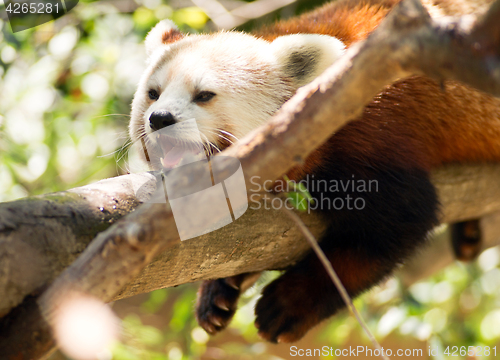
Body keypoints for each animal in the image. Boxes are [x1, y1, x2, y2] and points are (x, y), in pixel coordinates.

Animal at [130, 0, 500, 344]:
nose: (159, 118)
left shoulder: (374, 136)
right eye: (153, 94)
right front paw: (219, 290)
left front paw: (290, 303)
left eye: (204, 95)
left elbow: (390, 230)